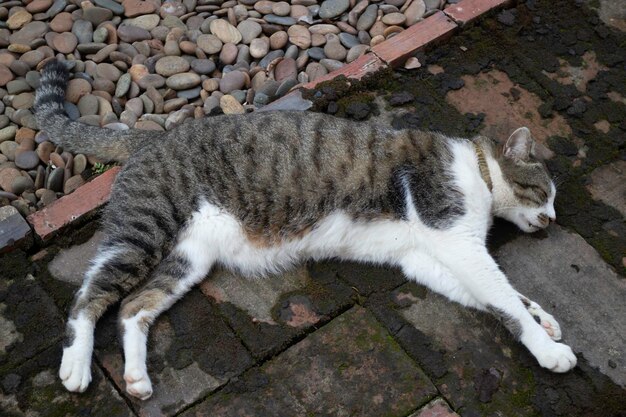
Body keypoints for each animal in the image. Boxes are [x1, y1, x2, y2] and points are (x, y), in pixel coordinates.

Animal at [31, 59, 572, 400]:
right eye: (543, 192)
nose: (552, 219)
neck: (477, 172)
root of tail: (149, 137)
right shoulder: (455, 240)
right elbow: (502, 299)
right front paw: (549, 349)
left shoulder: (424, 257)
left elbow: (501, 296)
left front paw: (545, 318)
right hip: (142, 231)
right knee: (89, 299)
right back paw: (76, 367)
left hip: (188, 259)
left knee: (132, 308)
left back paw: (137, 379)